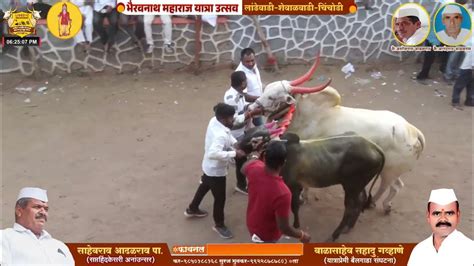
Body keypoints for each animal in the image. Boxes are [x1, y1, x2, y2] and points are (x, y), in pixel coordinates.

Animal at [241, 128, 386, 242]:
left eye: (253, 140)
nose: (238, 147)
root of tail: (373, 146)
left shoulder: (294, 186)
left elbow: (294, 207)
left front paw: (296, 224)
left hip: (351, 186)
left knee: (350, 208)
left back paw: (335, 235)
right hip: (358, 185)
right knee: (361, 201)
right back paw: (349, 227)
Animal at [248, 55, 426, 214]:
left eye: (272, 97)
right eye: (265, 90)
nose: (250, 108)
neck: (303, 115)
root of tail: (413, 131)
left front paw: (303, 197)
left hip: (388, 170)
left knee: (388, 186)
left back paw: (372, 204)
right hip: (392, 170)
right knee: (397, 186)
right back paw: (385, 205)